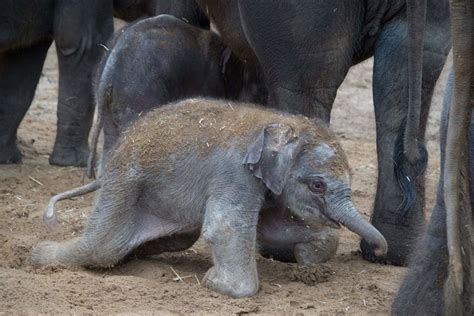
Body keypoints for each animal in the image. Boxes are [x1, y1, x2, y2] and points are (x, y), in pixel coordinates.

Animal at [34, 97, 388, 298]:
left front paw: (307, 261)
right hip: (125, 181)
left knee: (172, 237)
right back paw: (38, 257)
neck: (284, 124)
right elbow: (226, 228)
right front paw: (214, 283)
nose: (381, 251)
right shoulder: (234, 174)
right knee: (102, 248)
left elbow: (271, 229)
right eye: (317, 186)